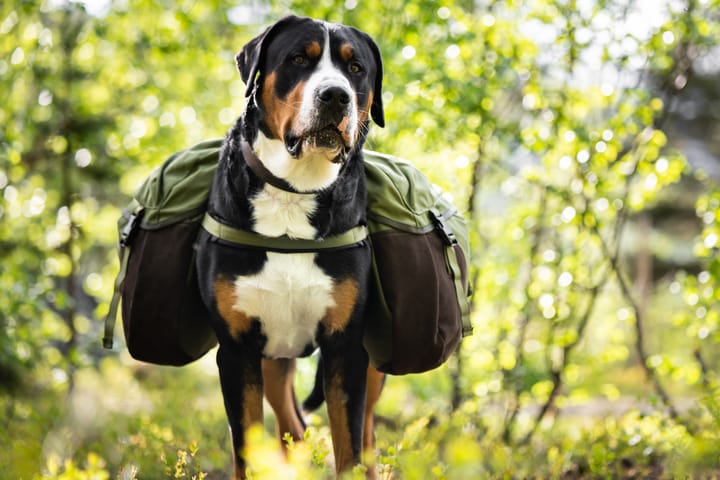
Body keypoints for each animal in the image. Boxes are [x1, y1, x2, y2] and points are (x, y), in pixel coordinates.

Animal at [195, 15, 388, 480]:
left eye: (356, 69)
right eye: (299, 59)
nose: (335, 95)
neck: (293, 193)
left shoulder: (347, 349)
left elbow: (350, 450)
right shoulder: (237, 352)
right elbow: (246, 449)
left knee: (367, 436)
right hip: (272, 357)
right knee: (292, 428)